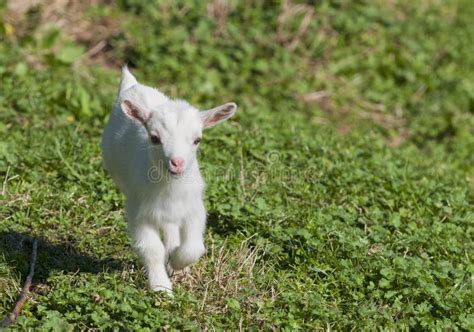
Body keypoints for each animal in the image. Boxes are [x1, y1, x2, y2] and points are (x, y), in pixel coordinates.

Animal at [103, 67, 237, 294]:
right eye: (155, 138)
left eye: (197, 139)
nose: (177, 163)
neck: (170, 189)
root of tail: (133, 85)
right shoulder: (138, 211)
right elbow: (151, 249)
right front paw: (161, 287)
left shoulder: (195, 209)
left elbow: (193, 247)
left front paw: (176, 263)